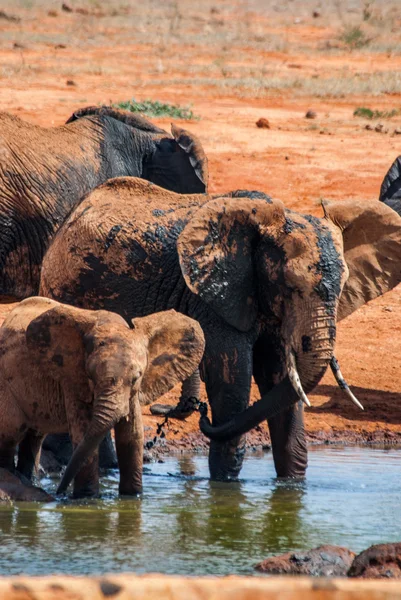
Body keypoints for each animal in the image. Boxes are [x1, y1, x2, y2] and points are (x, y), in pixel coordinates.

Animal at [0, 296, 205, 496]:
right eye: (90, 376)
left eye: (136, 378)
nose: (60, 493)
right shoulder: (72, 378)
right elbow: (83, 434)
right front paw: (87, 499)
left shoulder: (132, 393)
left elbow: (132, 437)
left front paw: (132, 497)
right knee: (11, 435)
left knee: (34, 438)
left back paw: (30, 481)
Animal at [39, 179, 400, 482]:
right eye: (291, 285)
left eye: (342, 286)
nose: (201, 414)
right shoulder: (215, 301)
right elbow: (233, 384)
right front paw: (226, 487)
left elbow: (279, 381)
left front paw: (291, 488)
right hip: (62, 288)